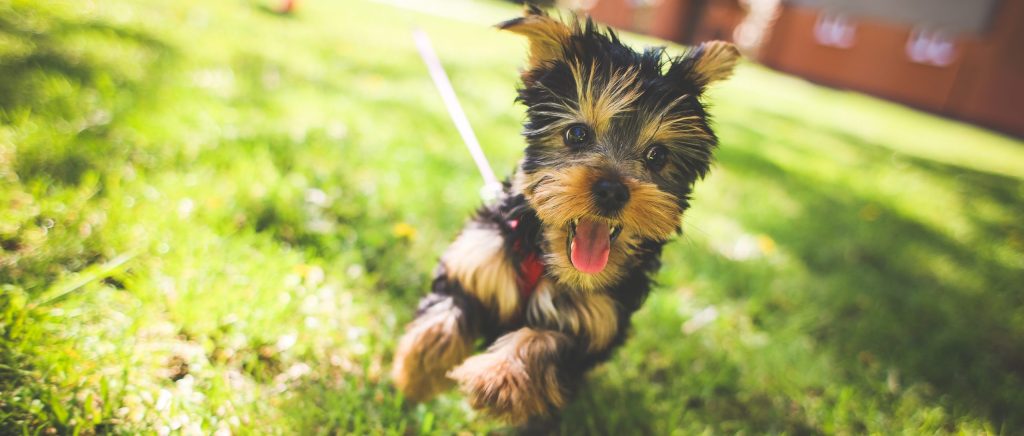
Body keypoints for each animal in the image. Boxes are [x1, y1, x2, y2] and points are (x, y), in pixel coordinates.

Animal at [392, 6, 739, 425]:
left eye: (657, 156)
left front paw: (498, 378)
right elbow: (444, 312)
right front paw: (416, 376)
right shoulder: (478, 259)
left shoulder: (594, 322)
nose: (611, 190)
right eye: (577, 135)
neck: (545, 261)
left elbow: (543, 341)